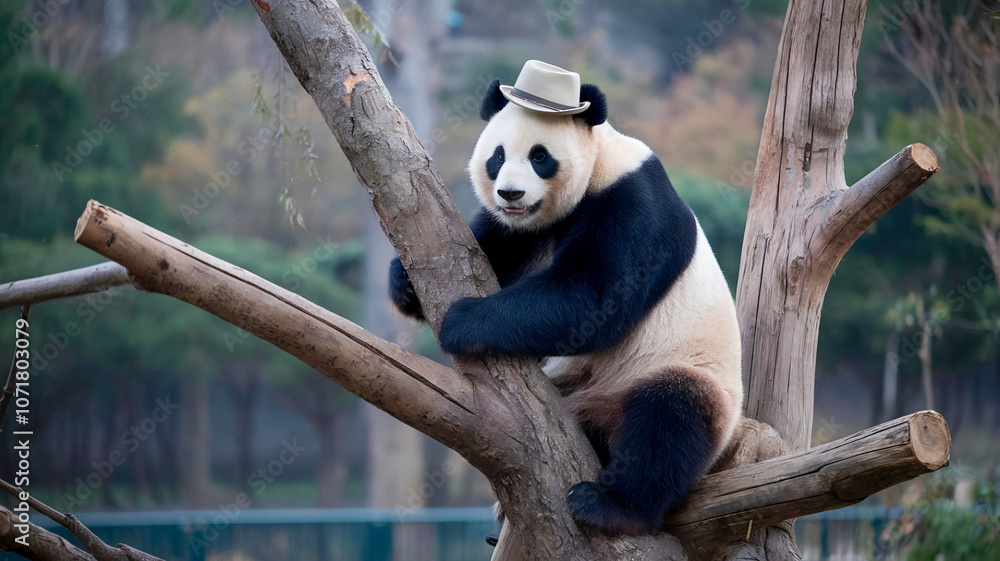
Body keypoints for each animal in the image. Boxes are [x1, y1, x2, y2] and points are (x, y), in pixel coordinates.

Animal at [388, 62, 743, 536]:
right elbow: (494, 248)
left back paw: (609, 505)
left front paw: (464, 320)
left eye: (540, 157)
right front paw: (404, 283)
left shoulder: (633, 204)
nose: (511, 194)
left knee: (670, 420)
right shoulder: (524, 229)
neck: (600, 165)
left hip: (683, 369)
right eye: (497, 156)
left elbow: (593, 296)